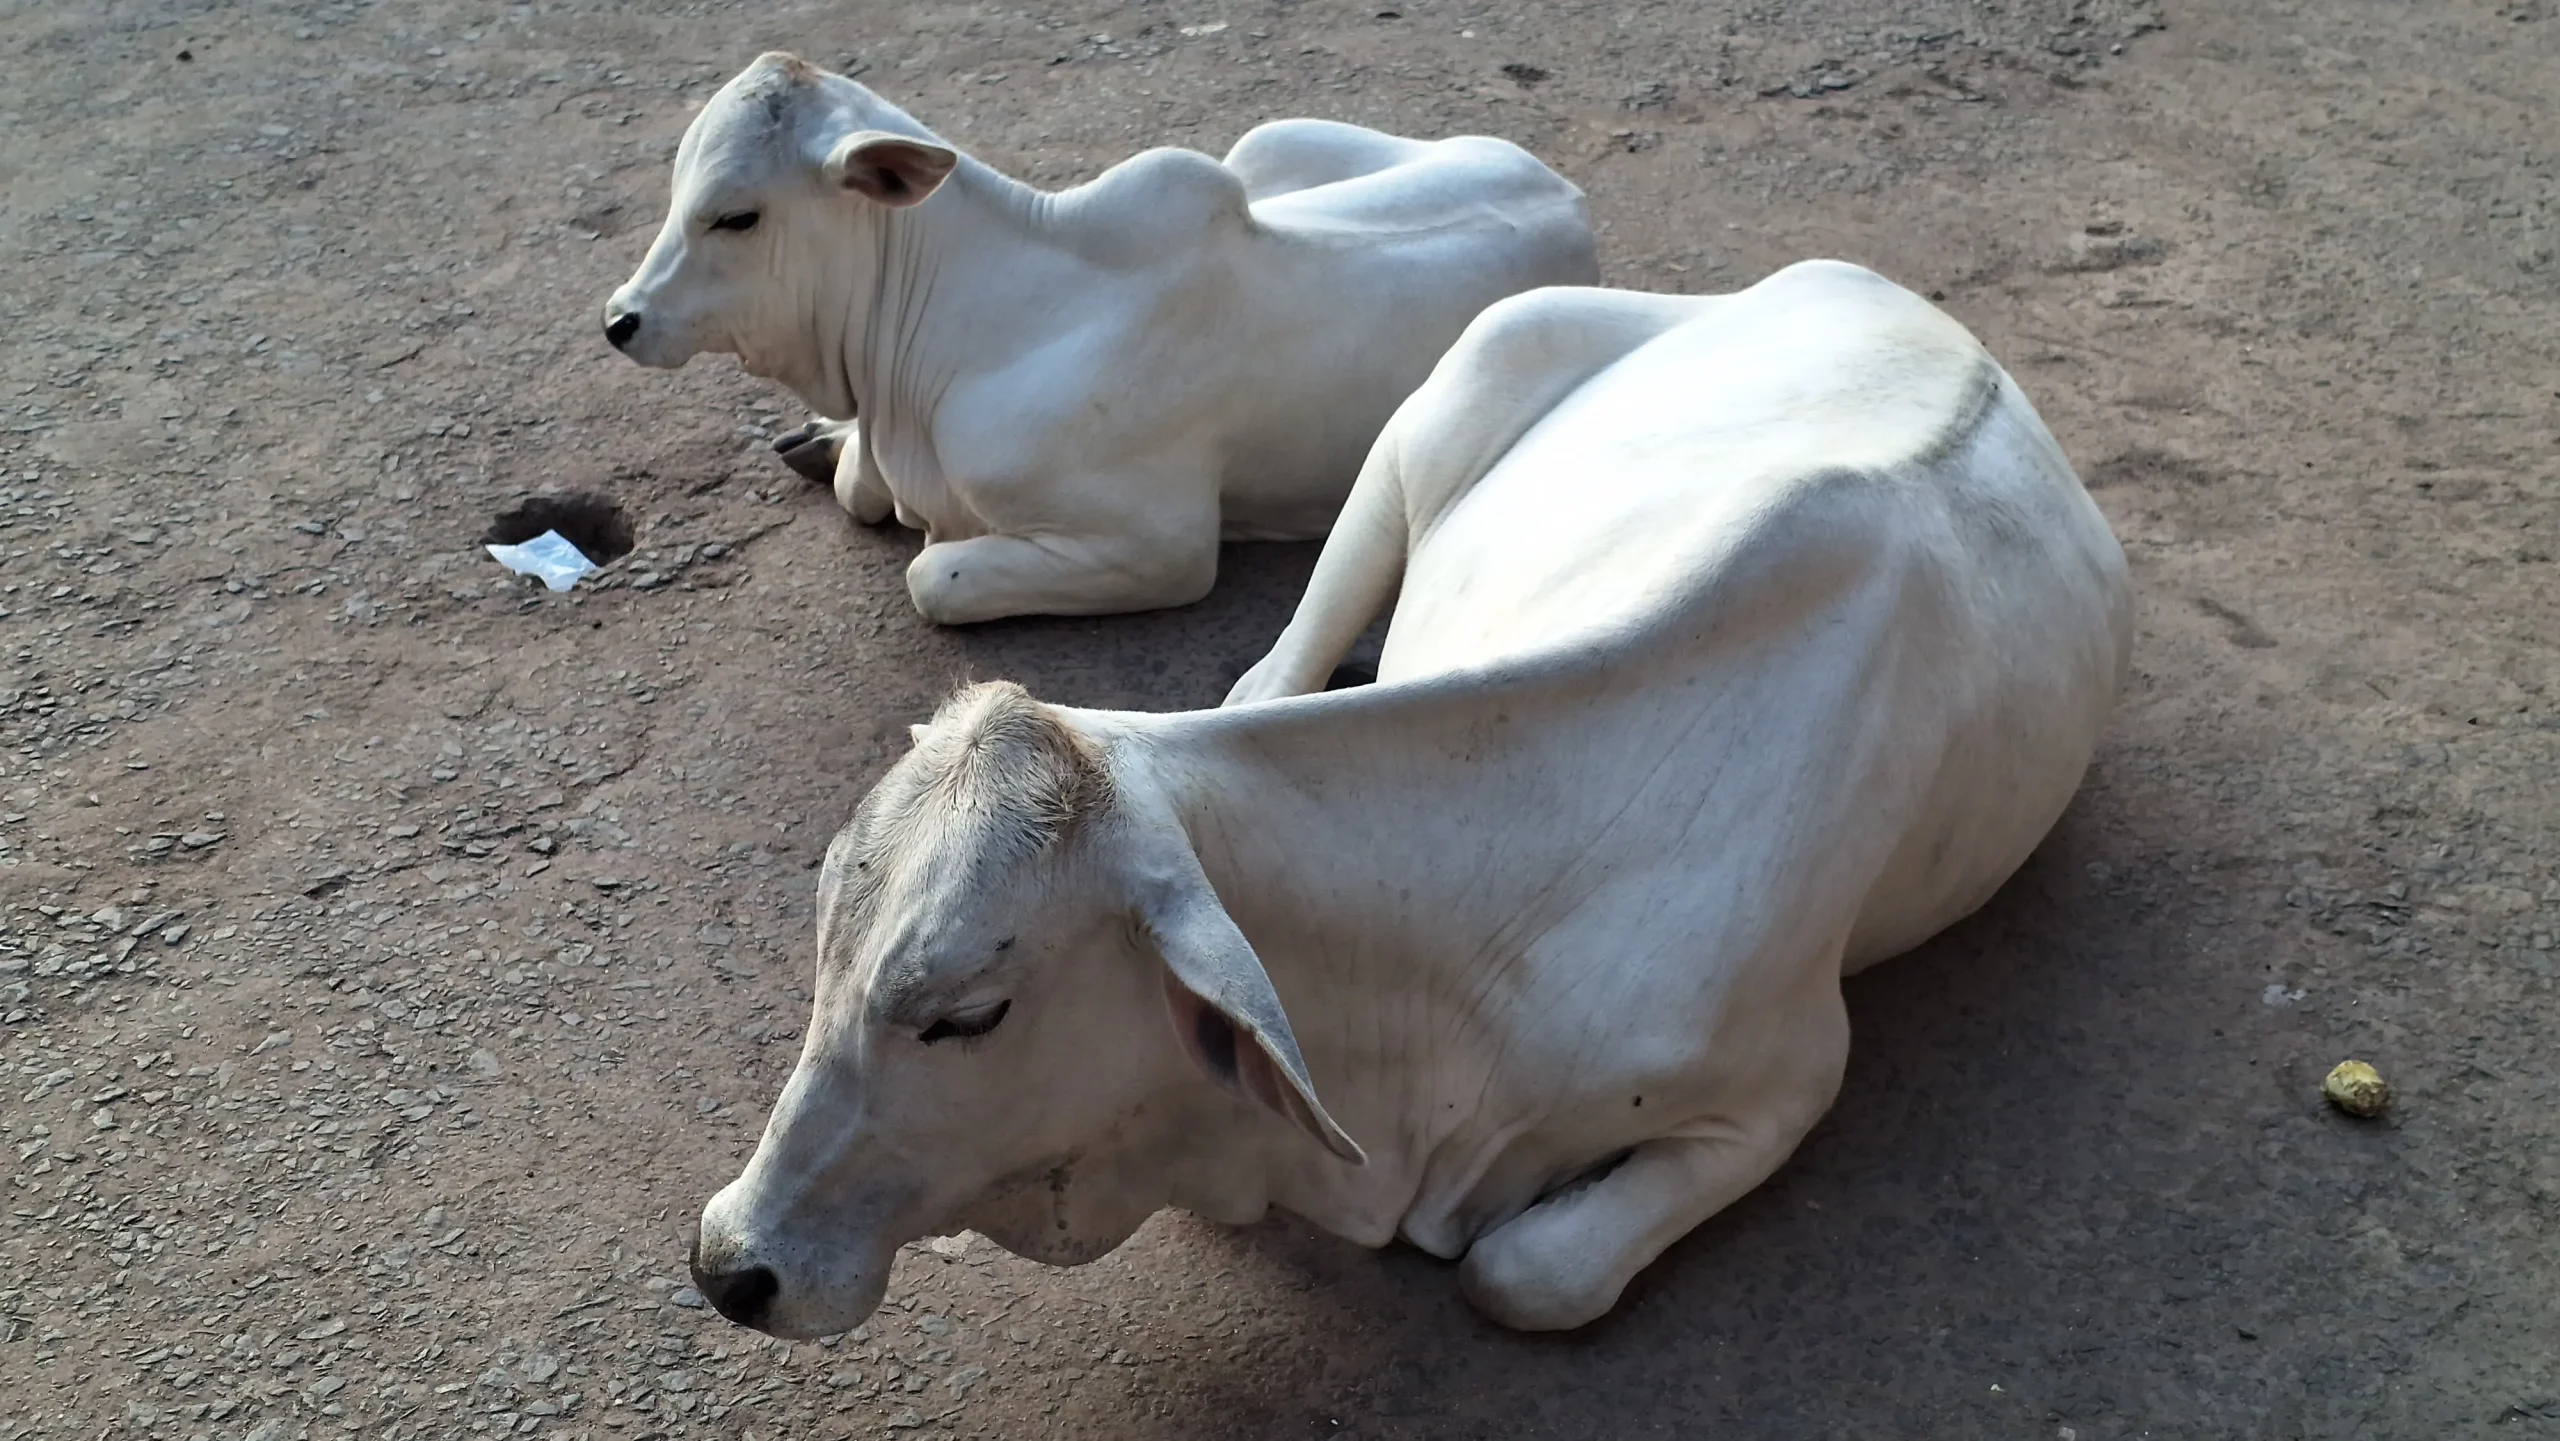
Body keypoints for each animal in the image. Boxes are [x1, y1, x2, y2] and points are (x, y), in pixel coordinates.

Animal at [601, 52, 1598, 623]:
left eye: (737, 216)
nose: (620, 319)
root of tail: (1563, 191)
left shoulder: (1163, 548)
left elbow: (933, 576)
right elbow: (862, 489)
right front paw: (830, 445)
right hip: (1267, 142)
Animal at [686, 261, 2134, 1335]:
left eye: (970, 1014)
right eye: (825, 943)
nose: (728, 1260)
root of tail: (1882, 294)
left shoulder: (1790, 1079)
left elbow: (1526, 1274)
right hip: (1456, 385)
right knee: (1279, 657)